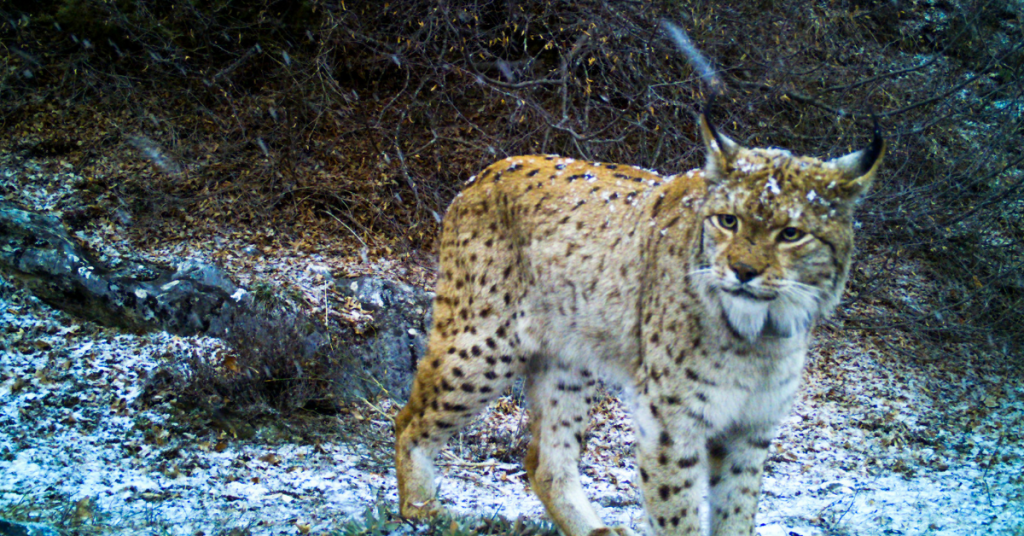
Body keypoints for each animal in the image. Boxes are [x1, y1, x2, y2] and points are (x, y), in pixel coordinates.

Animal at [394, 110, 884, 536]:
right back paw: (422, 510)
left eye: (791, 234)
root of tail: (487, 172)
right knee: (406, 419)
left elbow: (737, 513)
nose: (742, 271)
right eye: (728, 221)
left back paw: (593, 531)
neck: (761, 334)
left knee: (543, 461)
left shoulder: (752, 427)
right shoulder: (671, 418)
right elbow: (678, 514)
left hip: (570, 362)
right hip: (485, 344)